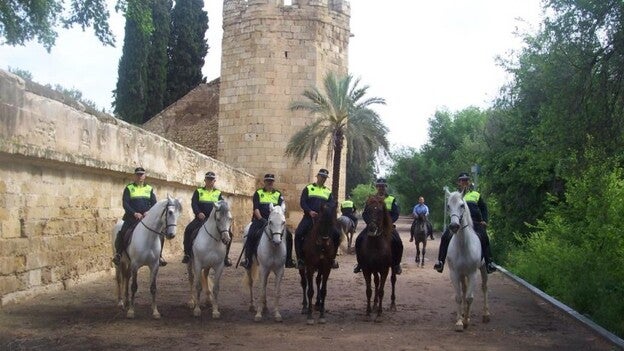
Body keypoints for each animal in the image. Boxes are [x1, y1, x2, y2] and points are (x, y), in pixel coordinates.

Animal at [446, 190, 490, 330]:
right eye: (448, 206)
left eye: (462, 205)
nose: (454, 226)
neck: (463, 246)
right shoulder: (455, 273)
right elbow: (459, 297)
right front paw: (460, 322)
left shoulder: (472, 273)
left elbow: (470, 298)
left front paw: (465, 322)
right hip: (462, 274)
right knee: (464, 290)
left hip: (483, 269)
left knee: (484, 287)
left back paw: (485, 315)